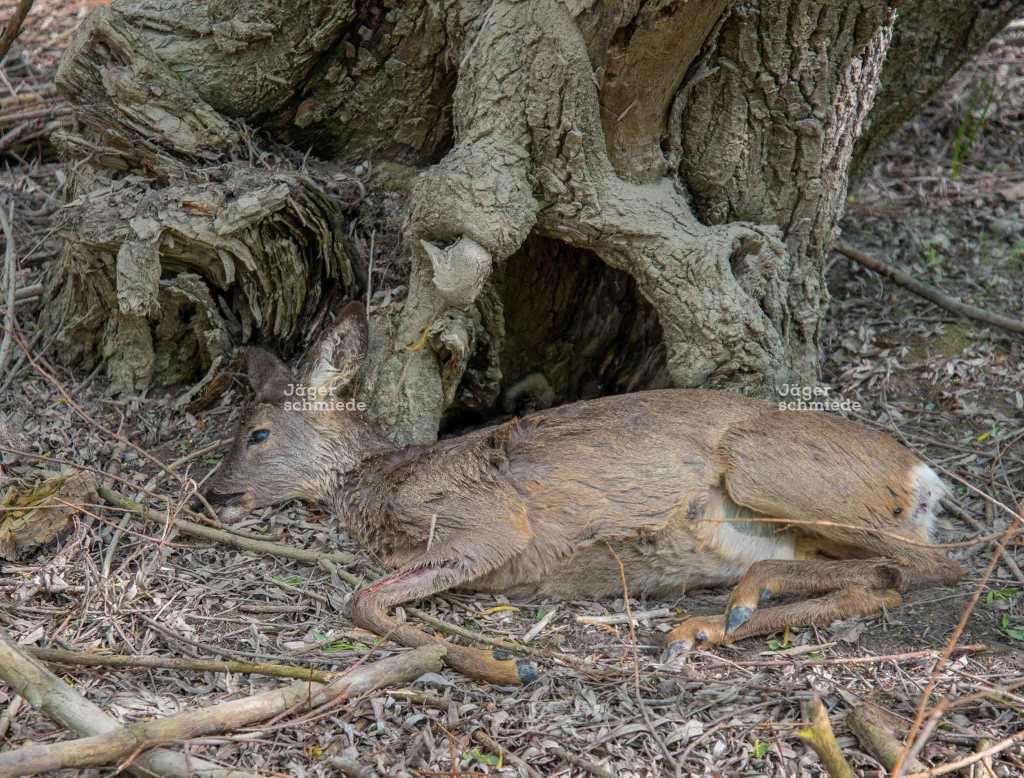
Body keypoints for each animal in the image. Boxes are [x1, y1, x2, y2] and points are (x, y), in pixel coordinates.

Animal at [197, 300, 958, 683]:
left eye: (257, 434)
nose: (212, 494)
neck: (379, 486)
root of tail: (922, 478)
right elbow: (369, 595)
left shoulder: (489, 522)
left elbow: (363, 598)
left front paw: (499, 665)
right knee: (886, 579)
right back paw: (707, 625)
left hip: (760, 467)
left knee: (933, 565)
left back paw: (737, 602)